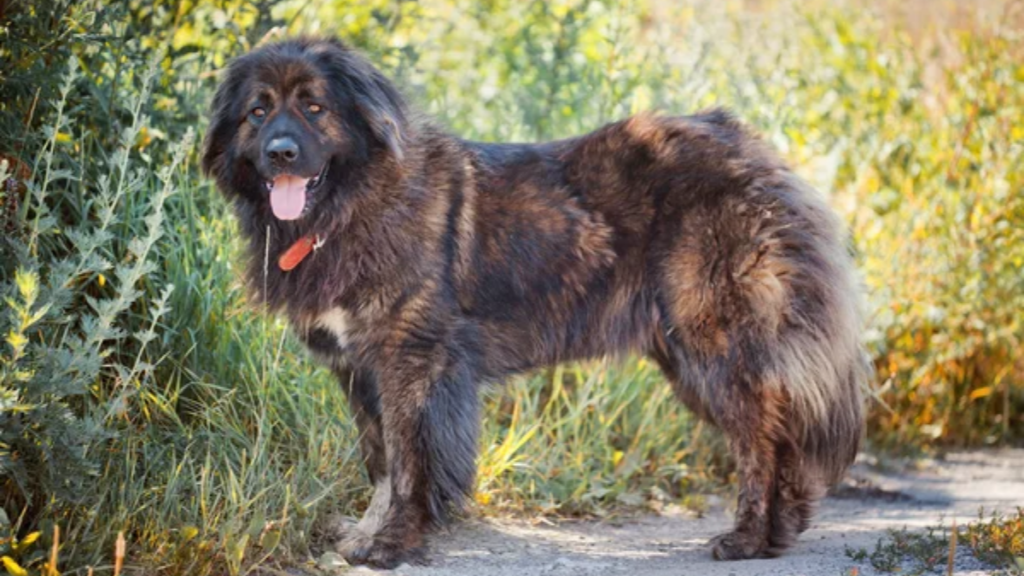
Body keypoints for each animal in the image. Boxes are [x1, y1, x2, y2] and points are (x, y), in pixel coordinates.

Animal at [203, 38, 868, 565]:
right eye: (258, 112)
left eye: (314, 107)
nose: (281, 152)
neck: (349, 205)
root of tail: (749, 147)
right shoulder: (359, 370)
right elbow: (381, 462)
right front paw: (367, 536)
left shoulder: (412, 363)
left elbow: (410, 462)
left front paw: (394, 544)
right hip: (691, 356)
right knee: (782, 437)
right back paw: (778, 534)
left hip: (716, 346)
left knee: (761, 443)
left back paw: (748, 539)